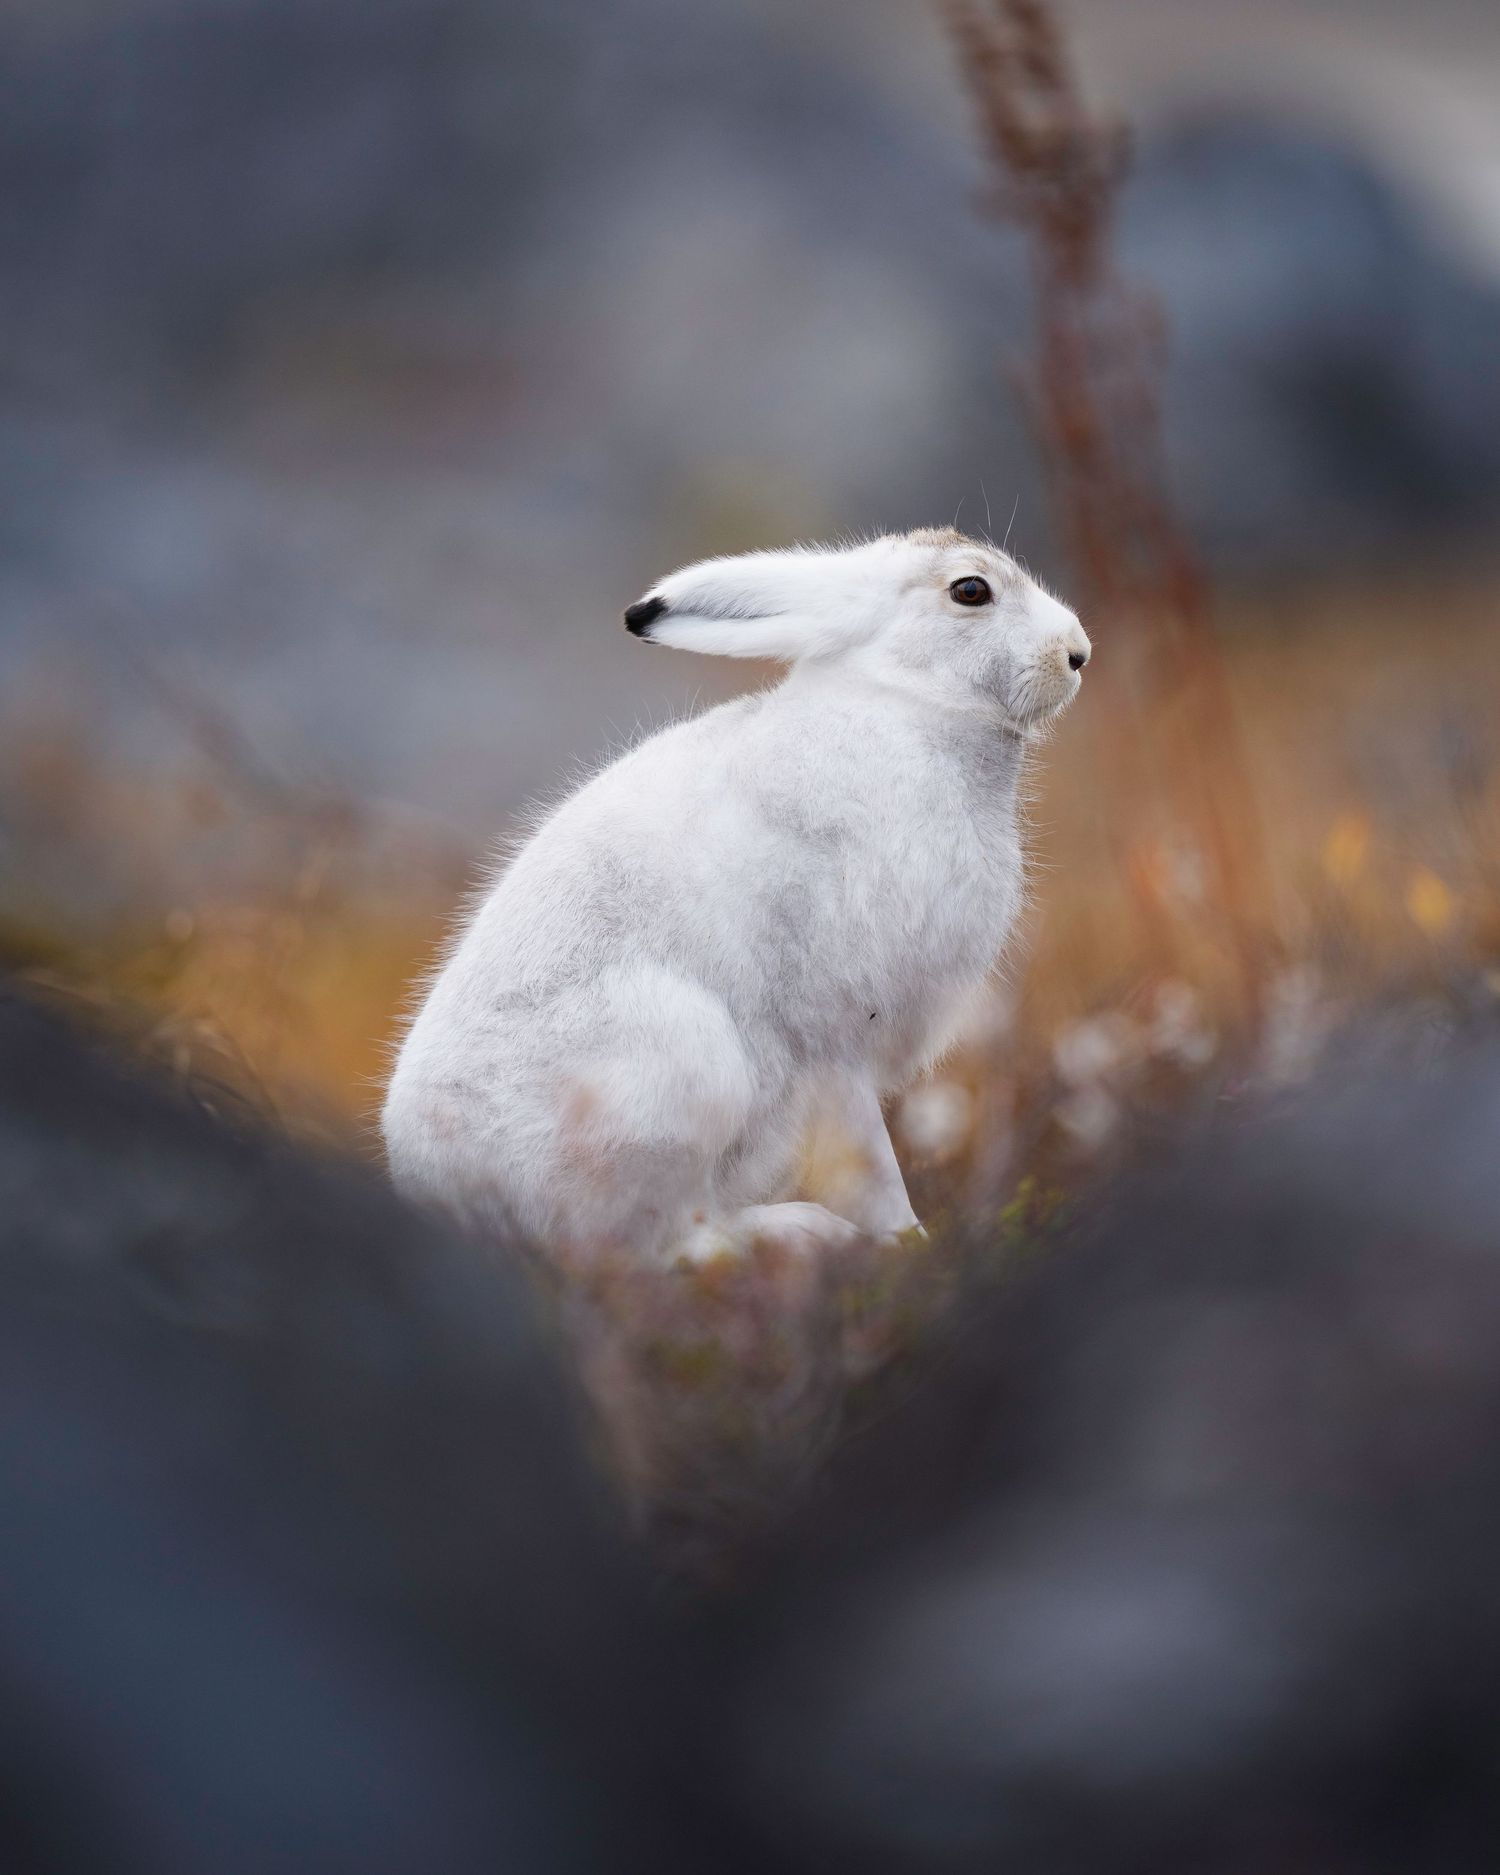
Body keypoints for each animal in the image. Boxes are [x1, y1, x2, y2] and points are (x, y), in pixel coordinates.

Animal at [382, 528, 1090, 1260]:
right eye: (971, 590)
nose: (1077, 654)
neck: (907, 703)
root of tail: (450, 1200)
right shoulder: (836, 1034)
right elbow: (870, 1158)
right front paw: (909, 1241)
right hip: (678, 1061)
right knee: (663, 1248)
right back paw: (800, 1231)